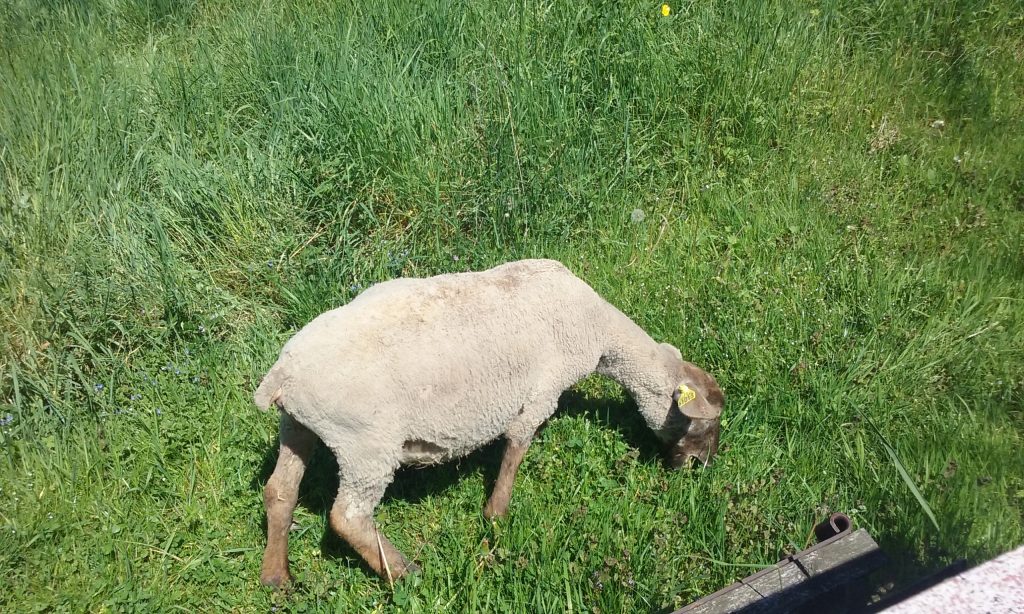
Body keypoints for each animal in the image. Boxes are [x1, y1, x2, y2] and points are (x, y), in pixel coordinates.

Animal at [254, 258, 724, 586]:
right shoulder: (543, 390)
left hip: (299, 426)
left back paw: (276, 578)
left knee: (280, 491)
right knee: (348, 516)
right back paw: (404, 572)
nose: (702, 467)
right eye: (702, 425)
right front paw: (496, 515)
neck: (599, 333)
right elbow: (517, 445)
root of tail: (282, 376)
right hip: (365, 445)